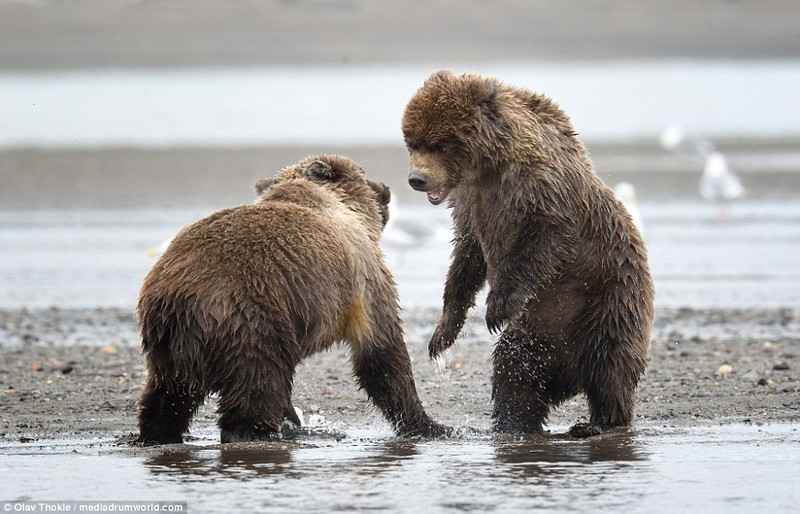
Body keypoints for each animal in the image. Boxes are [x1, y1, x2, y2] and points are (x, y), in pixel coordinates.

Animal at [138, 154, 450, 442]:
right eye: (364, 174)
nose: (385, 188)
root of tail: (182, 300)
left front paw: (293, 419)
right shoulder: (363, 273)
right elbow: (382, 350)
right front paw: (431, 425)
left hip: (168, 345)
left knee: (168, 394)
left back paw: (158, 432)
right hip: (252, 320)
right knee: (259, 382)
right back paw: (255, 432)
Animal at [404, 69, 652, 436]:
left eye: (442, 144)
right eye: (412, 141)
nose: (417, 179)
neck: (487, 165)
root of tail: (569, 372)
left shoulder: (539, 186)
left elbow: (542, 238)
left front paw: (497, 306)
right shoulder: (470, 203)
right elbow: (467, 257)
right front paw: (442, 333)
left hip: (609, 295)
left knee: (609, 361)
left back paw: (600, 423)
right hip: (538, 328)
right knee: (516, 368)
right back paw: (513, 421)